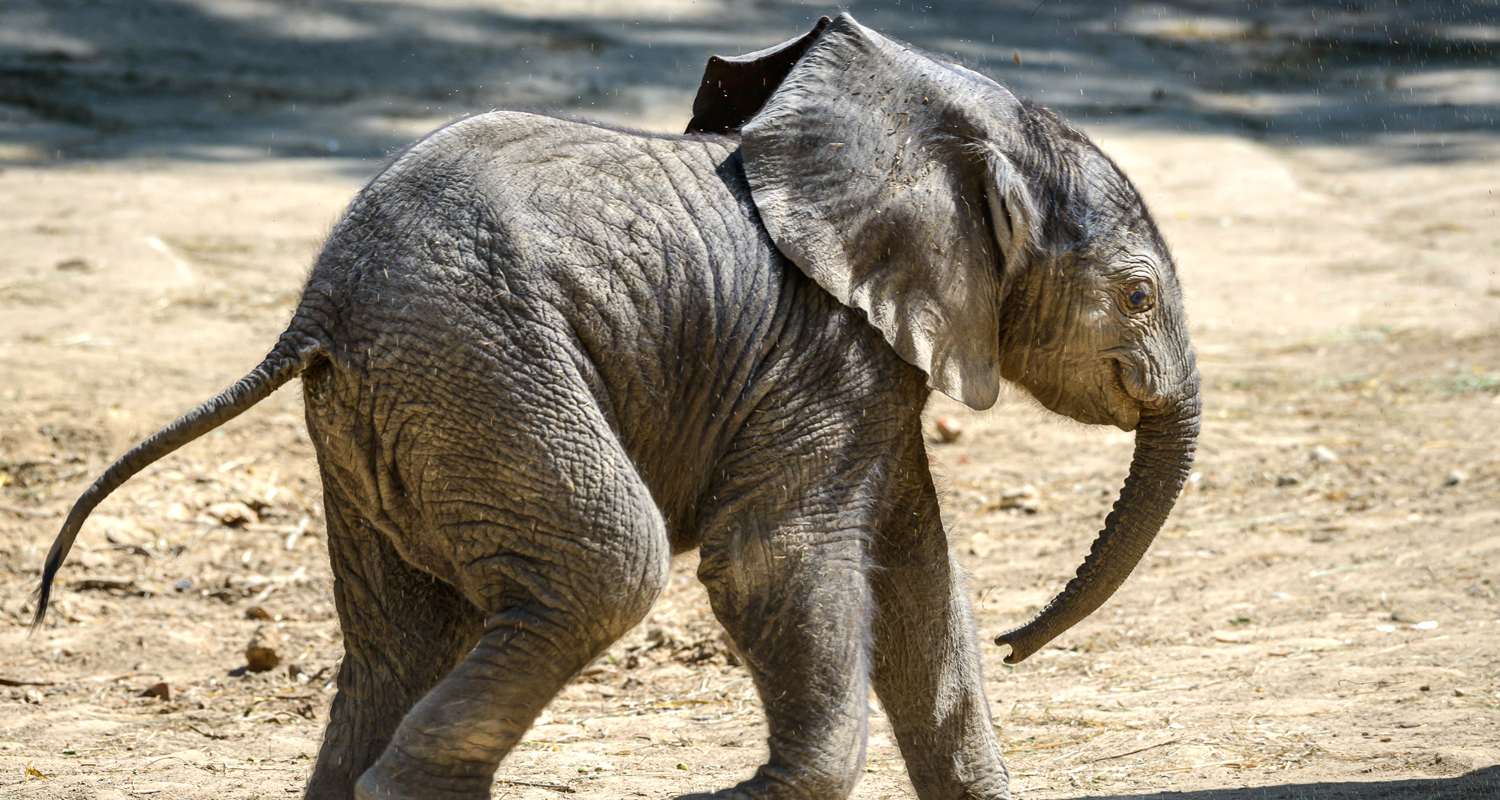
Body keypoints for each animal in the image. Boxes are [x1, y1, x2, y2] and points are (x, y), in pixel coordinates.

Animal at [32, 12, 1194, 798]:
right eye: (1138, 296)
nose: (1020, 639)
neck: (945, 128)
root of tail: (318, 308)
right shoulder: (822, 346)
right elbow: (778, 559)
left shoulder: (863, 364)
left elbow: (916, 575)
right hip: (482, 371)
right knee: (605, 565)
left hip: (395, 415)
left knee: (403, 640)